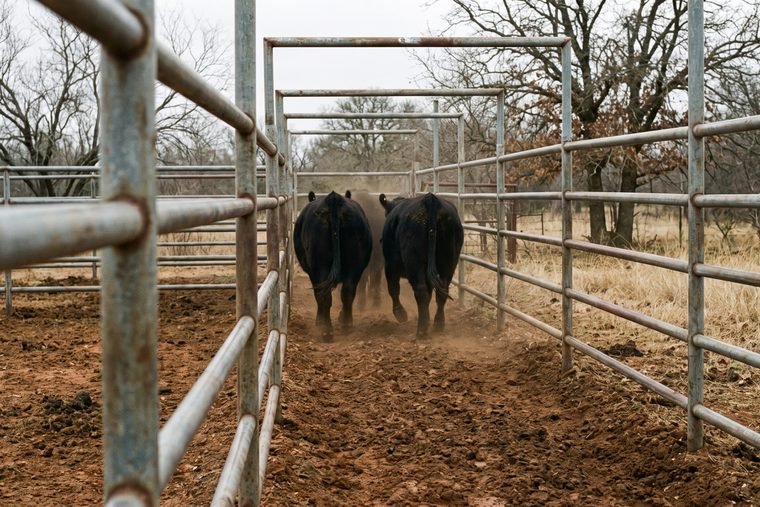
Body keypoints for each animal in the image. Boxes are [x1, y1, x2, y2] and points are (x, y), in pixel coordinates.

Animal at [294, 190, 372, 340]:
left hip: (320, 266)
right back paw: (346, 324)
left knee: (323, 295)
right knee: (348, 292)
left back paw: (326, 330)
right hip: (354, 264)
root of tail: (333, 200)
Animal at [379, 192, 464, 337]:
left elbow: (393, 288)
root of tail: (430, 199)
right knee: (441, 291)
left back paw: (421, 329)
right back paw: (438, 324)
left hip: (414, 262)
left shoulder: (390, 265)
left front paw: (400, 314)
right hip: (448, 261)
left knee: (421, 291)